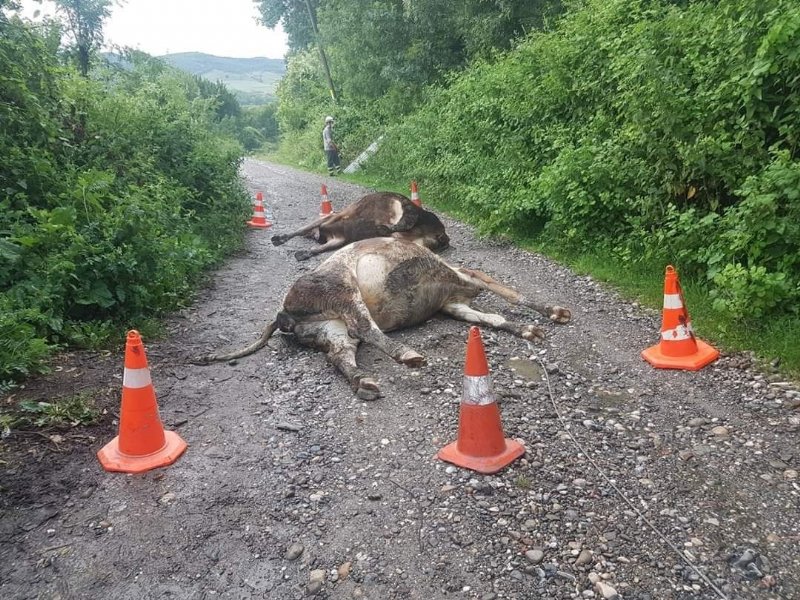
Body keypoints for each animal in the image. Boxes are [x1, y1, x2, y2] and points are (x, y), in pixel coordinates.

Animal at [195, 237, 568, 400]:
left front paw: (527, 329)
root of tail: (281, 311)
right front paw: (554, 312)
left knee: (339, 354)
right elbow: (511, 295)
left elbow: (491, 318)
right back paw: (407, 355)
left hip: (329, 327)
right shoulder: (466, 279)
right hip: (344, 289)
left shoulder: (453, 304)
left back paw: (363, 381)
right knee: (366, 327)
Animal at [272, 191, 450, 258]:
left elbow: (300, 229)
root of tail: (442, 232)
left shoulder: (330, 218)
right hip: (406, 238)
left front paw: (282, 238)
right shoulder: (337, 239)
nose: (317, 237)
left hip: (396, 207)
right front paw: (308, 251)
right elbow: (318, 247)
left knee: (399, 222)